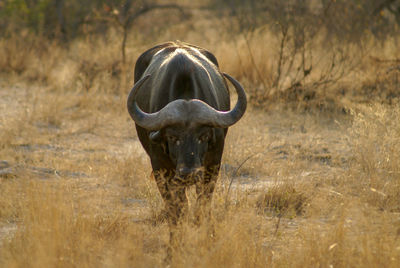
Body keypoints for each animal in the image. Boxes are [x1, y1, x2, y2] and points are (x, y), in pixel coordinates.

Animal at [128, 40, 245, 246]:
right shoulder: (160, 168)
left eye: (203, 136)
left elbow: (203, 203)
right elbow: (176, 209)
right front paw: (174, 245)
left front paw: (208, 234)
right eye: (173, 137)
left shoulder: (213, 164)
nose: (188, 173)